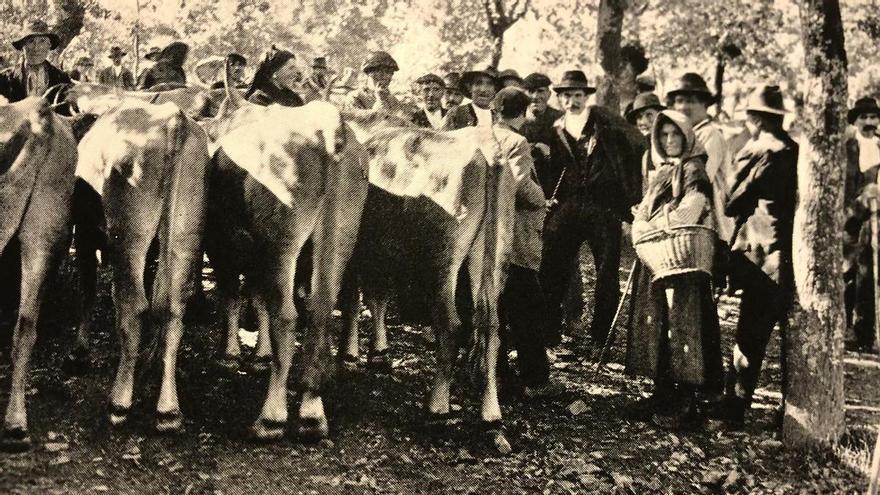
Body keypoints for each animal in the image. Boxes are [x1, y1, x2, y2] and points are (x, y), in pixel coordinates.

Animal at [72, 94, 210, 434]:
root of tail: (174, 120)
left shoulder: (83, 232)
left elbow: (87, 290)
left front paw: (78, 354)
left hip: (129, 234)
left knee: (134, 307)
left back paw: (119, 402)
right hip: (186, 231)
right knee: (171, 309)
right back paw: (168, 409)